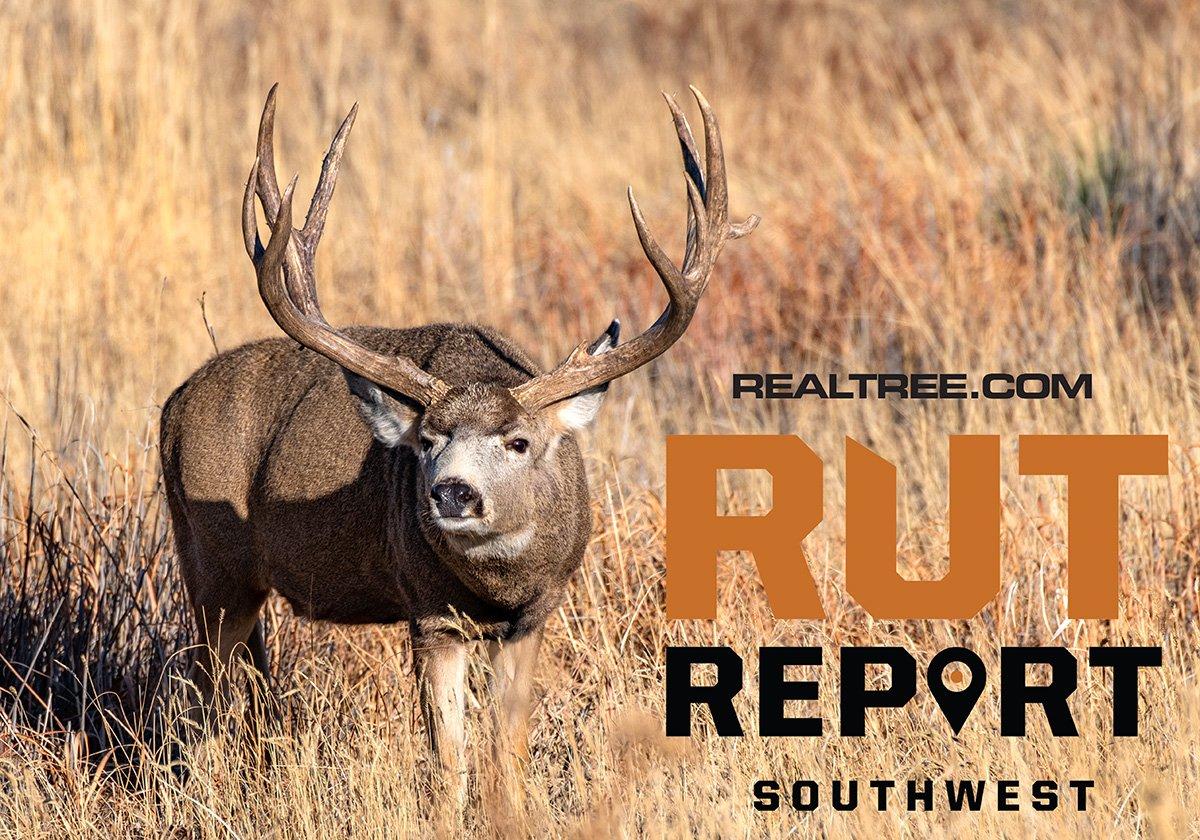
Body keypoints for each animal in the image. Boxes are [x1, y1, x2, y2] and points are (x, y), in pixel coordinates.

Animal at [159, 84, 757, 796]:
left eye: (519, 442)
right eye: (426, 442)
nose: (452, 493)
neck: (497, 588)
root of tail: (173, 404)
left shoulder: (533, 617)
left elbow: (508, 754)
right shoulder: (430, 613)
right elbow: (450, 761)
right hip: (209, 565)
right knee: (201, 698)